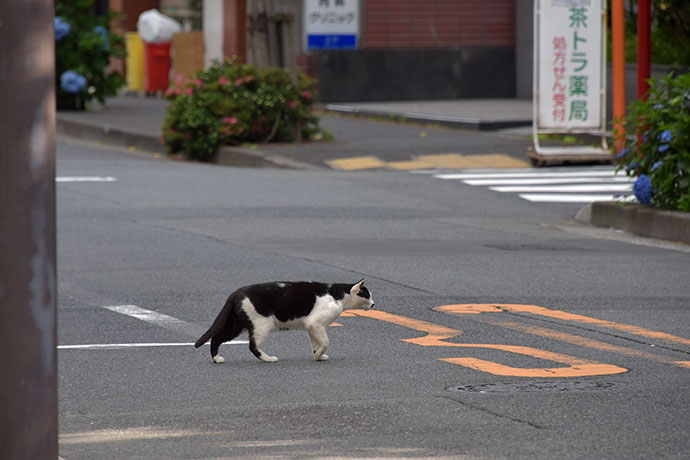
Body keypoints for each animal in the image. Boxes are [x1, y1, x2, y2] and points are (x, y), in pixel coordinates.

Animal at [194, 280, 374, 362]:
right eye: (368, 295)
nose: (374, 304)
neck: (338, 295)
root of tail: (236, 293)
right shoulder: (316, 324)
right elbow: (325, 342)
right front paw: (318, 355)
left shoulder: (312, 327)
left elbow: (316, 344)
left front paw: (318, 356)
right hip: (262, 325)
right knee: (252, 346)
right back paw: (269, 358)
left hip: (237, 325)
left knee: (217, 338)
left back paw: (217, 359)